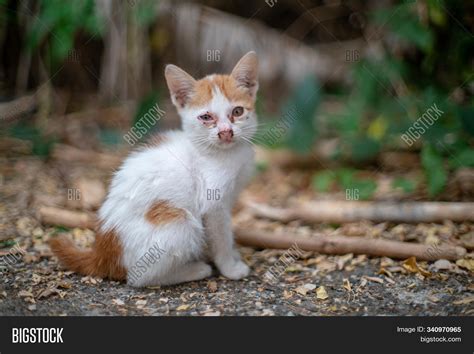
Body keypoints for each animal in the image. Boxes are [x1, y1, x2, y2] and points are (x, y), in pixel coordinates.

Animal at [51, 51, 260, 286]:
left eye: (237, 111)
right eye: (206, 117)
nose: (226, 132)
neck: (218, 152)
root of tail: (103, 253)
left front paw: (233, 254)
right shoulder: (213, 204)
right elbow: (221, 236)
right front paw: (230, 267)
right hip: (180, 223)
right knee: (139, 278)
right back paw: (193, 270)